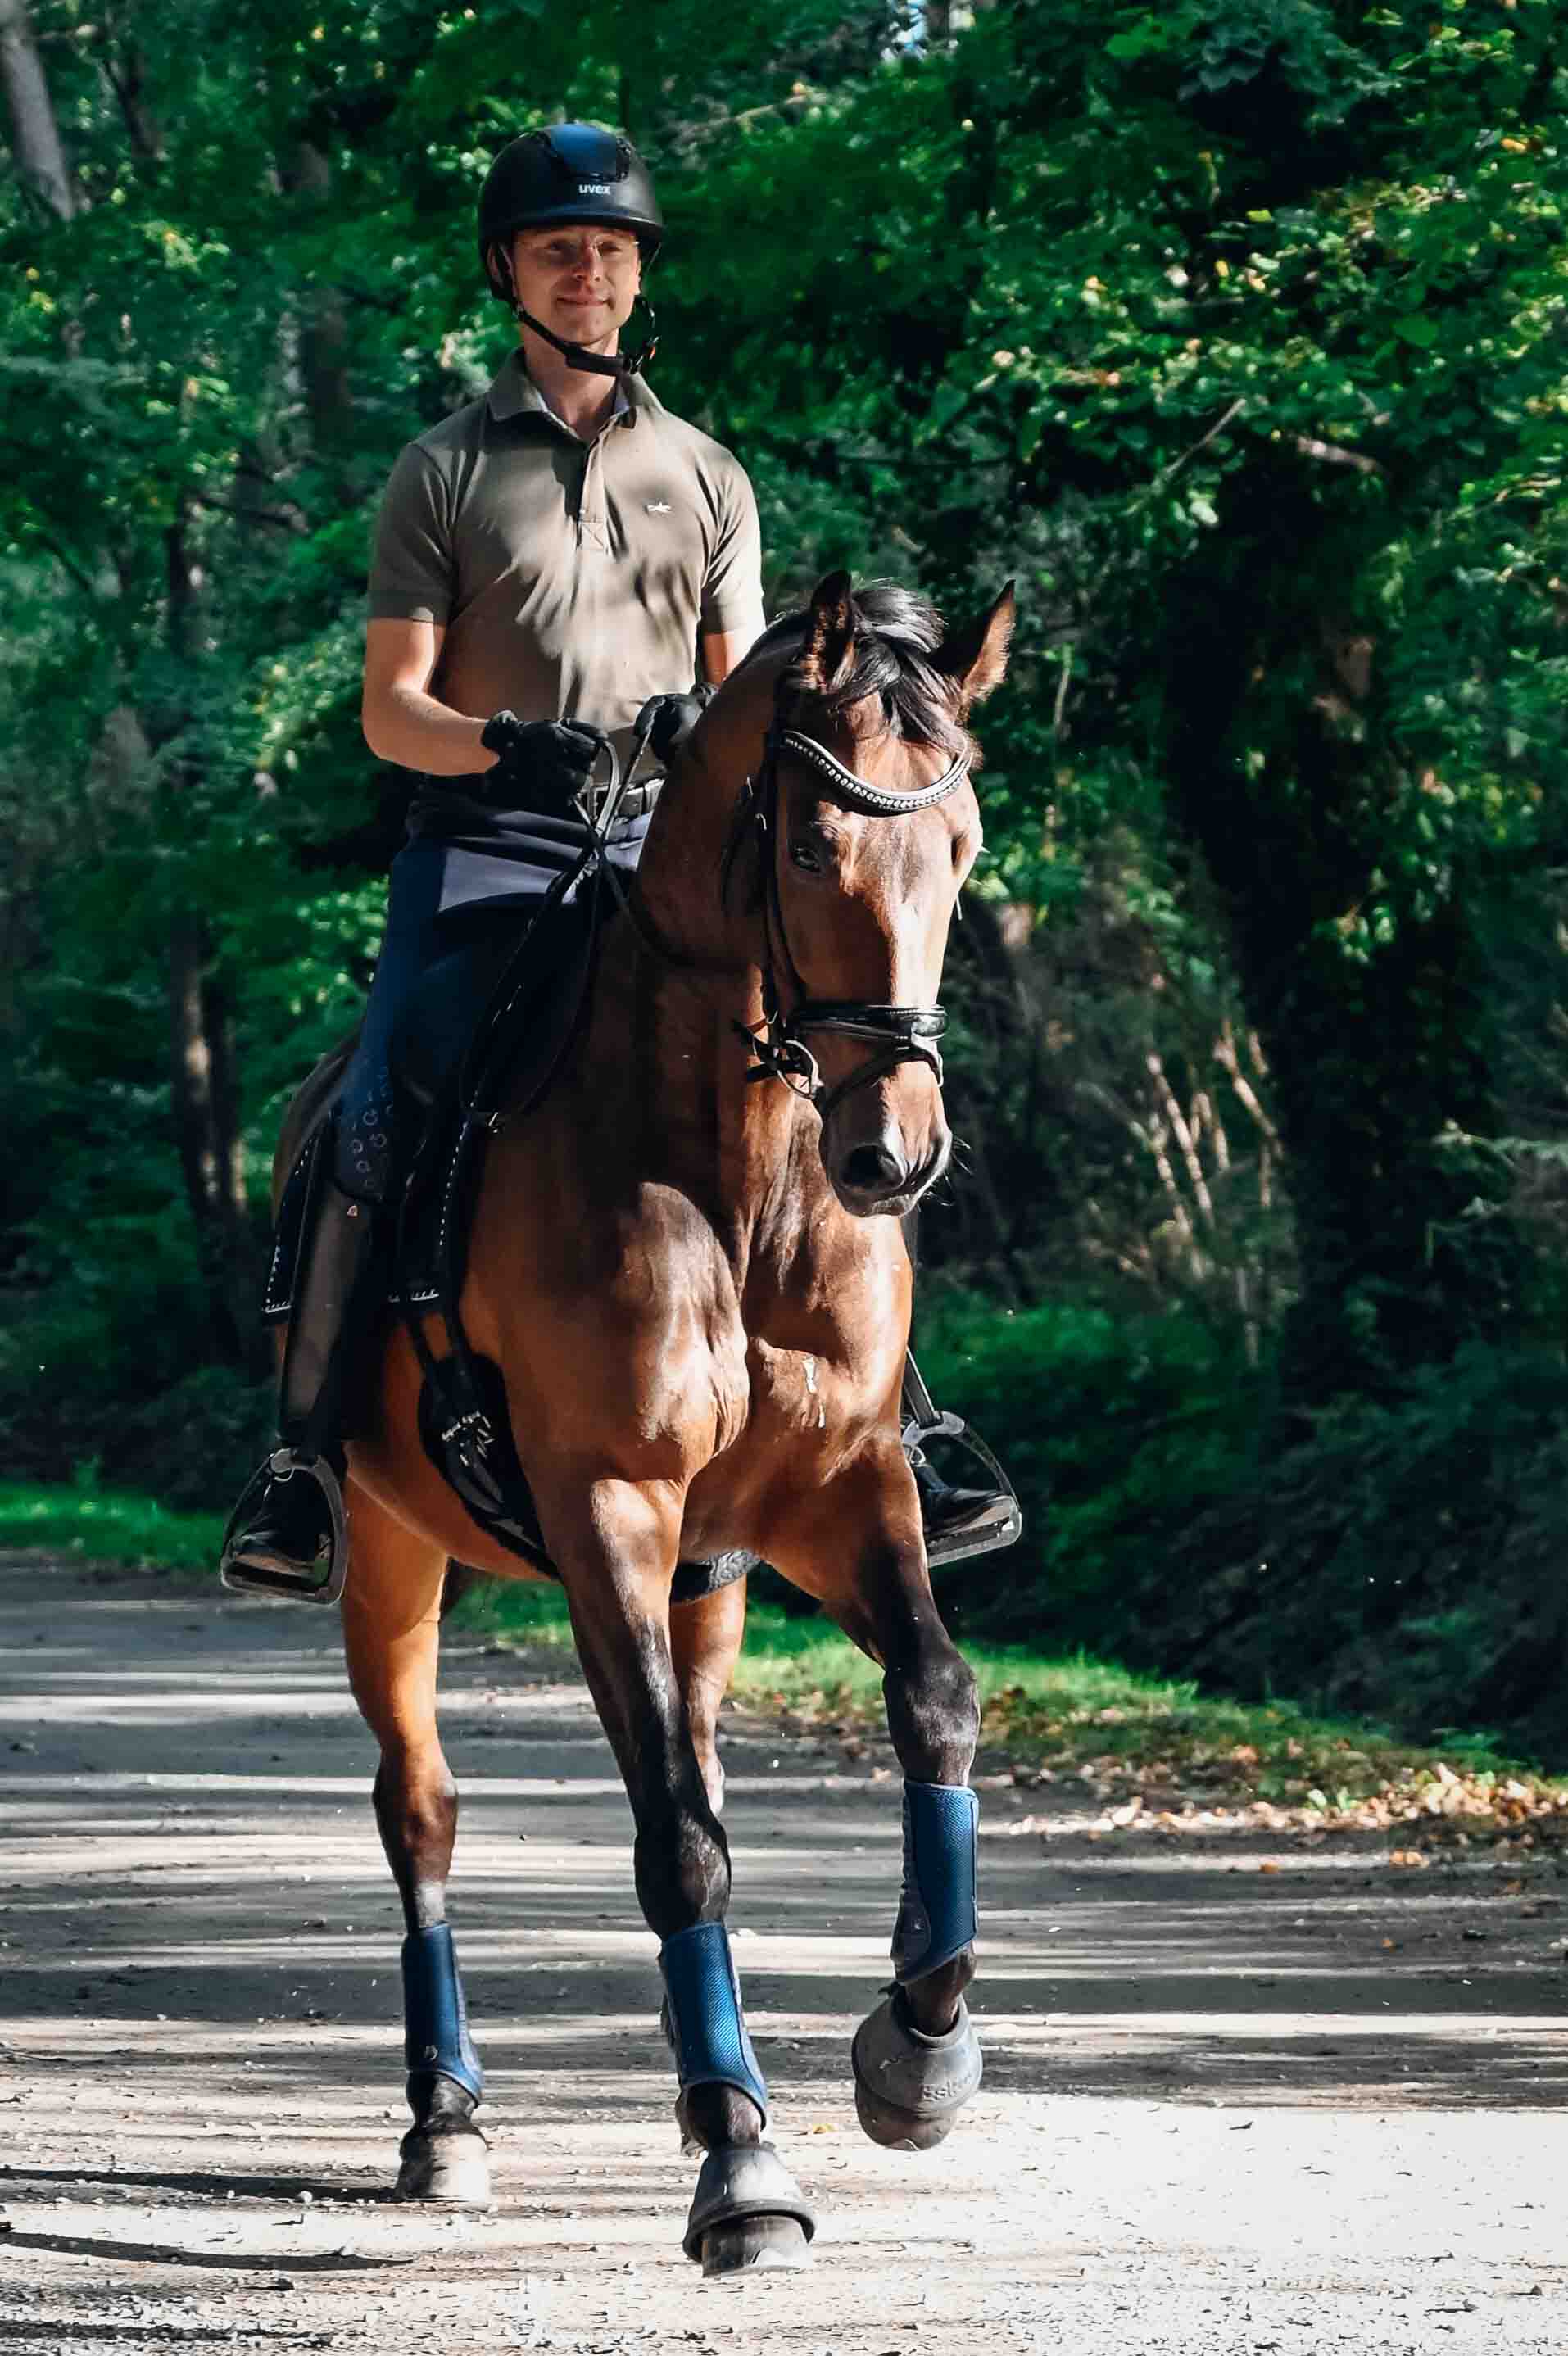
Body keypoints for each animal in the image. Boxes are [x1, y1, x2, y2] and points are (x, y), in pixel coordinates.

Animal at [274, 569, 1014, 2274]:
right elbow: (675, 1836)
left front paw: (916, 2052)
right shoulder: (608, 1503)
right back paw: (448, 2120)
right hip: (392, 1554)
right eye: (808, 848)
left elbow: (933, 1706)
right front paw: (742, 2166)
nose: (891, 1153)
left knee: (707, 1756)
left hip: (712, 1585)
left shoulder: (836, 1494)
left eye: (959, 847)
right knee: (421, 1810)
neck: (731, 1169)